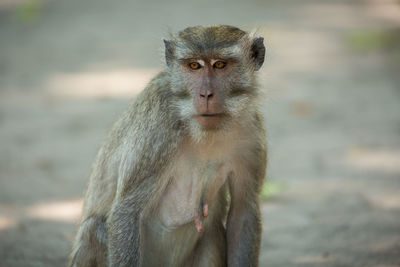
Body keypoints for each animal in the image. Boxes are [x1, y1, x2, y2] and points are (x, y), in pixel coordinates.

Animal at [69, 25, 268, 267]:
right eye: (194, 66)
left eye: (220, 65)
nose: (206, 94)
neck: (203, 132)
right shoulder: (158, 129)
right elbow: (127, 210)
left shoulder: (251, 134)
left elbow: (243, 210)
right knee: (95, 227)